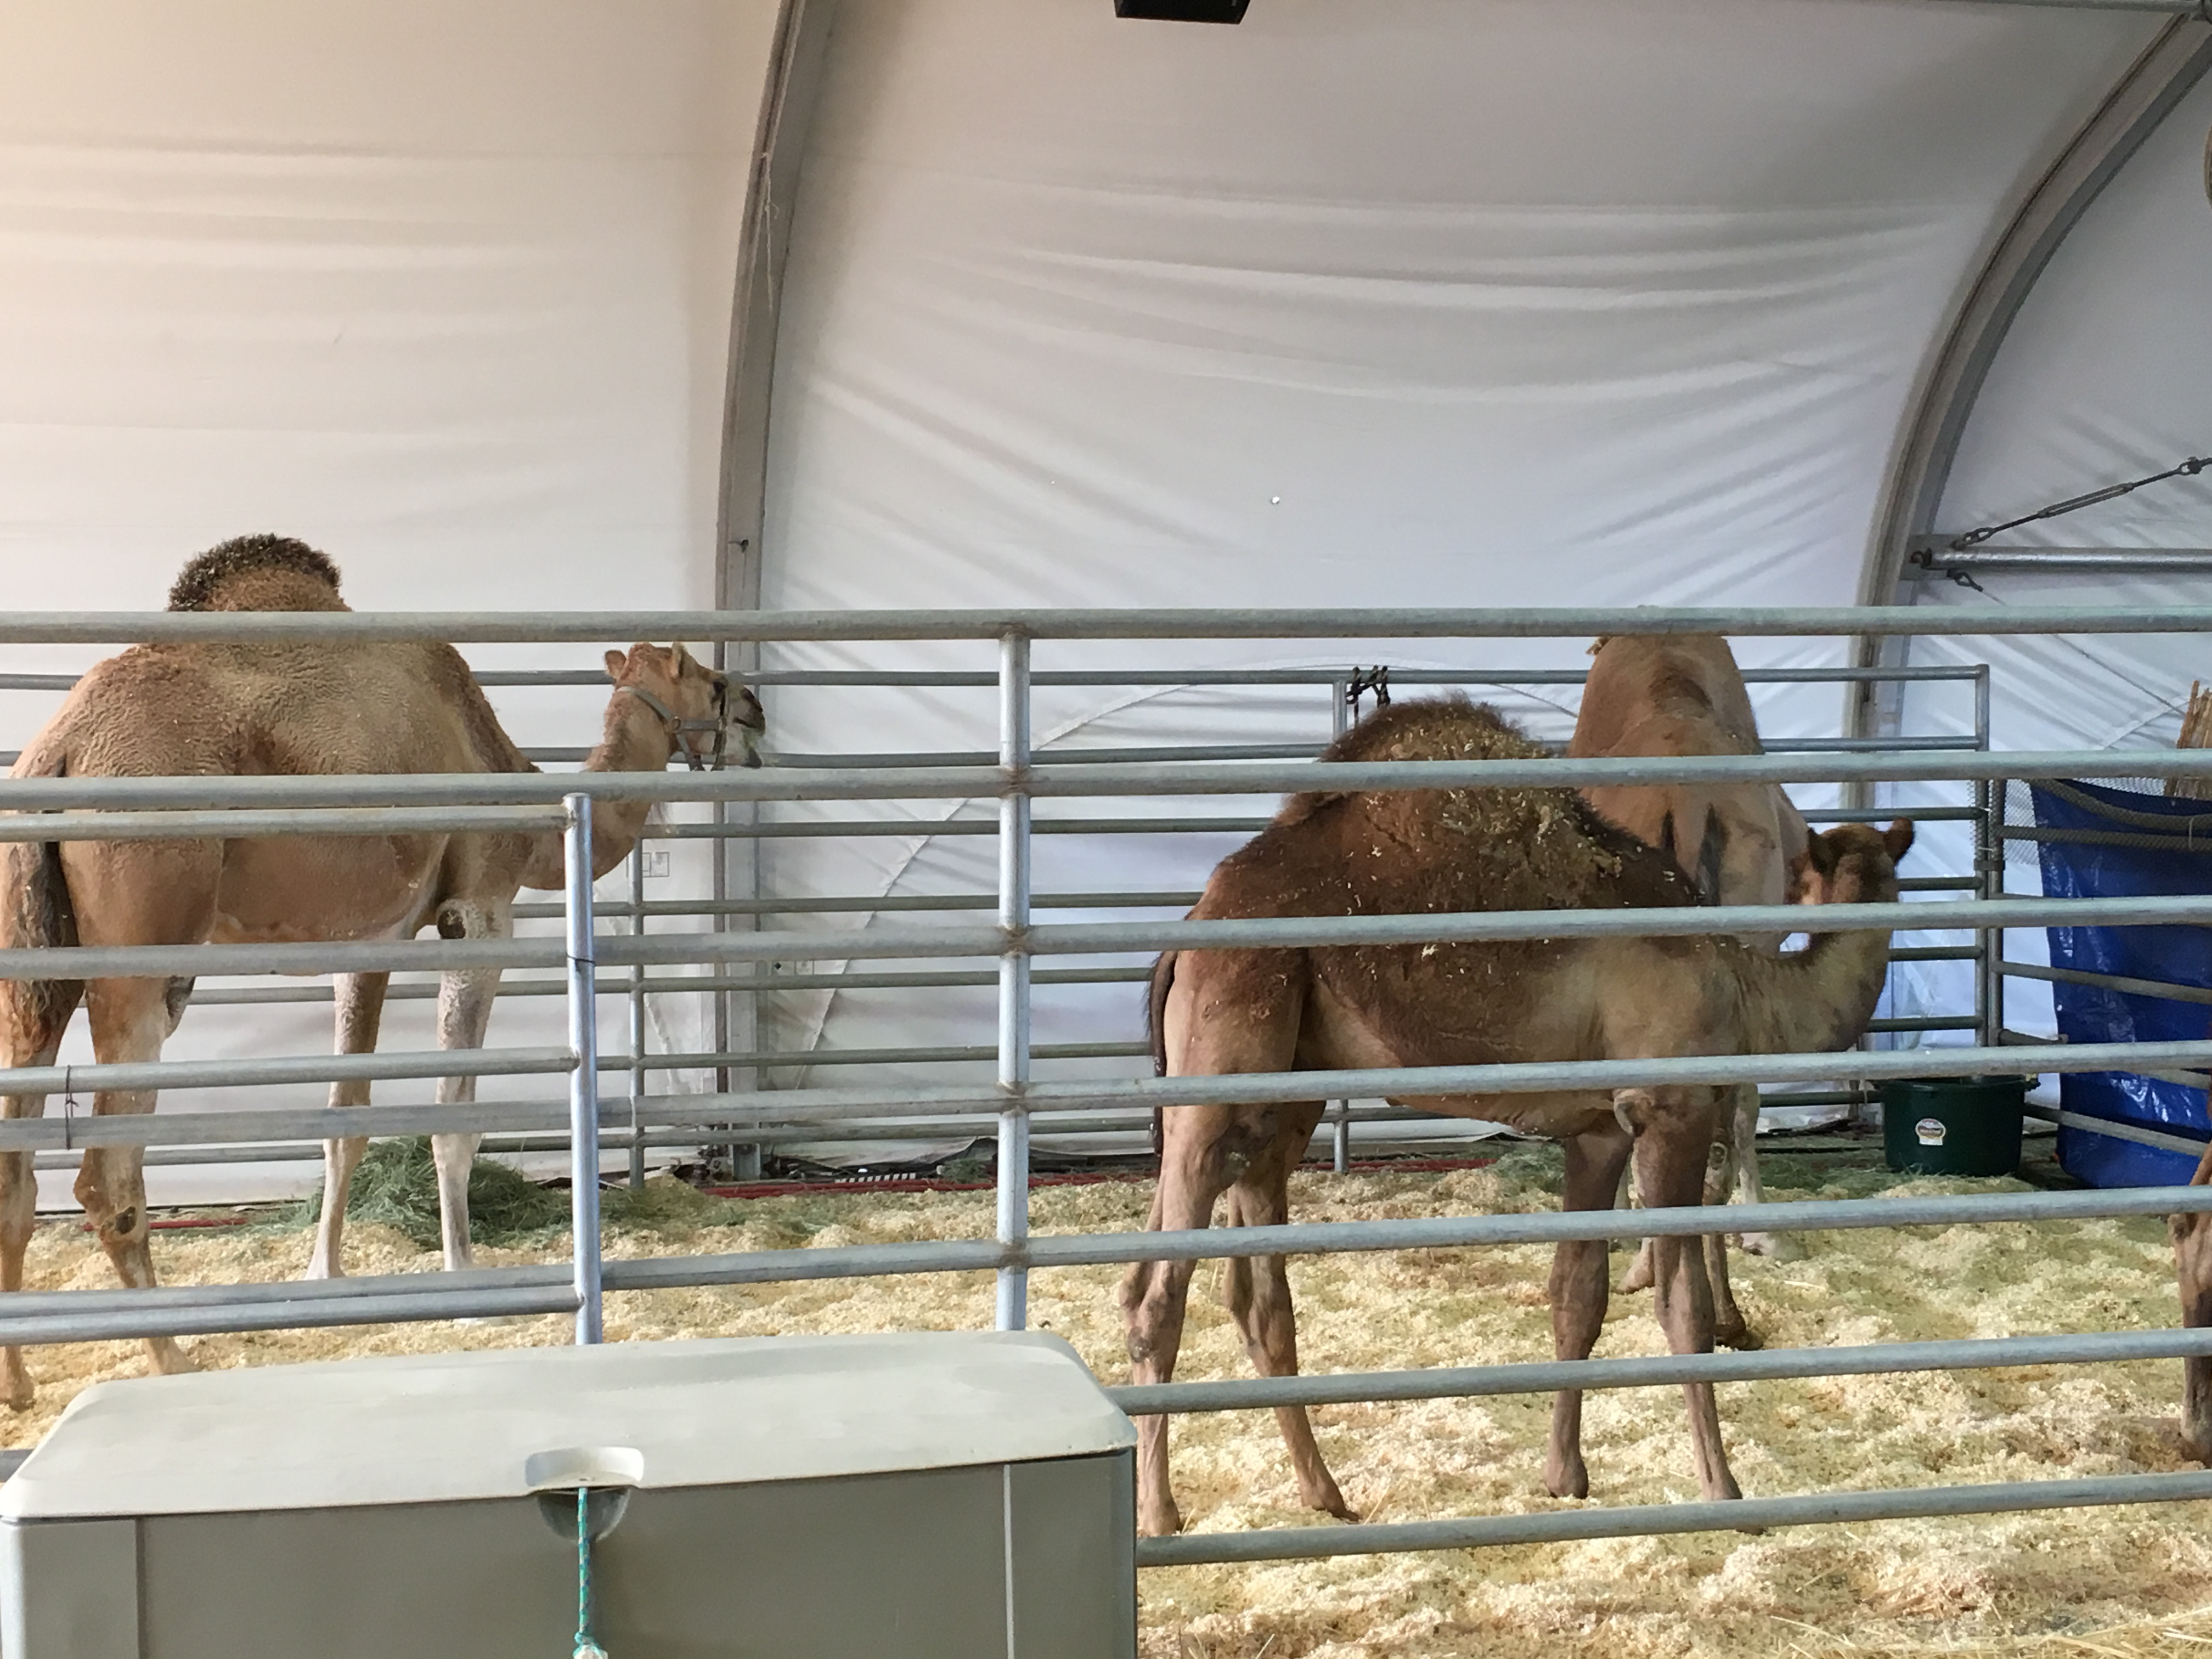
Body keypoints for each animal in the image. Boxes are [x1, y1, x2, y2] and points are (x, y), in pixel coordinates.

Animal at [0, 534, 763, 1406]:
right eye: (708, 678)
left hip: (37, 952)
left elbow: (345, 1120)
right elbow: (453, 1121)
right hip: (143, 932)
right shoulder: (478, 912)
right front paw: (464, 1288)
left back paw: (19, 1382)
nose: (755, 709)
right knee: (105, 1175)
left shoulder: (368, 943)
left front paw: (323, 1274)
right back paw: (171, 1359)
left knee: (18, 1161)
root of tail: (58, 753)